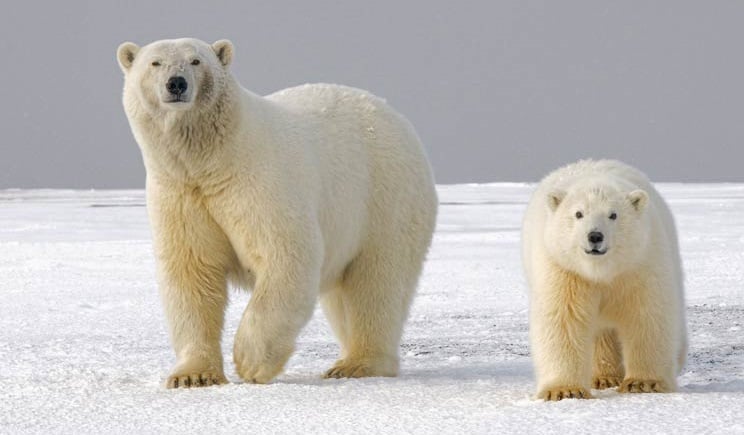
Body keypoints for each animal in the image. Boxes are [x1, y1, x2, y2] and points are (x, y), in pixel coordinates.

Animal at [117, 38, 436, 388]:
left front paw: (250, 362)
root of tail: (395, 116)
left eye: (196, 61)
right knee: (343, 295)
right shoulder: (180, 194)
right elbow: (192, 273)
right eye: (155, 63)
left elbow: (285, 255)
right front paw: (192, 376)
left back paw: (357, 363)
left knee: (377, 282)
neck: (213, 160)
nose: (176, 83)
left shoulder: (258, 182)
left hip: (384, 198)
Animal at [524, 160, 684, 402]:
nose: (595, 236)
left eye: (613, 215)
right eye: (578, 213)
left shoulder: (640, 263)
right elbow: (563, 320)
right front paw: (565, 390)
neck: (601, 271)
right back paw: (604, 377)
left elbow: (647, 315)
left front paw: (643, 383)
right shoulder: (564, 270)